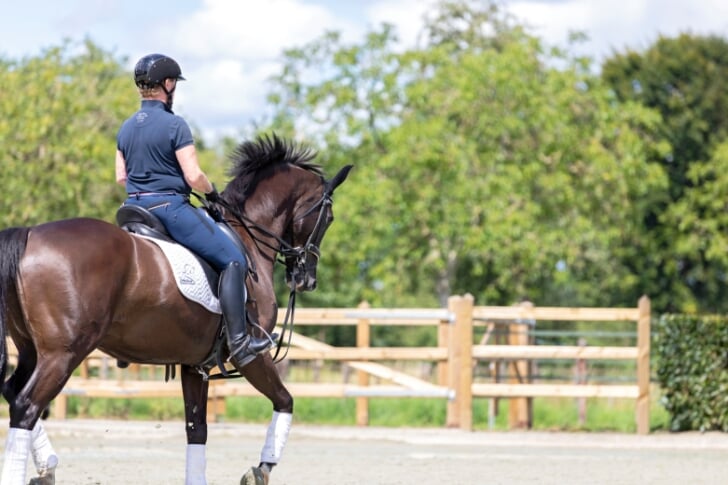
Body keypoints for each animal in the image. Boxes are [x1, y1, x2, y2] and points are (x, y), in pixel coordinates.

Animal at [0, 133, 352, 484]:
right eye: (329, 218)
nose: (307, 279)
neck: (247, 238)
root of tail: (29, 233)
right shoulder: (253, 356)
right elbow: (285, 400)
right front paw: (261, 469)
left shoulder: (194, 364)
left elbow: (197, 430)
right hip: (63, 354)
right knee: (26, 406)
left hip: (32, 350)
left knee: (13, 393)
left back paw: (48, 466)